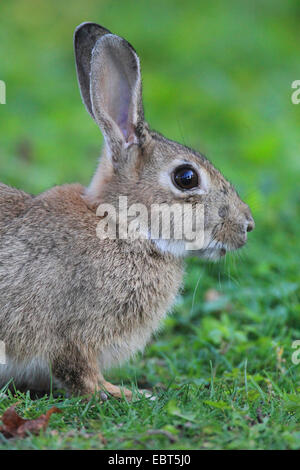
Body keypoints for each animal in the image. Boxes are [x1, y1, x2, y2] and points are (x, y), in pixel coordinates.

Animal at [0, 20, 254, 398]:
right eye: (186, 177)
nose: (247, 225)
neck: (122, 225)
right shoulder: (75, 333)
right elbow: (80, 373)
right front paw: (127, 393)